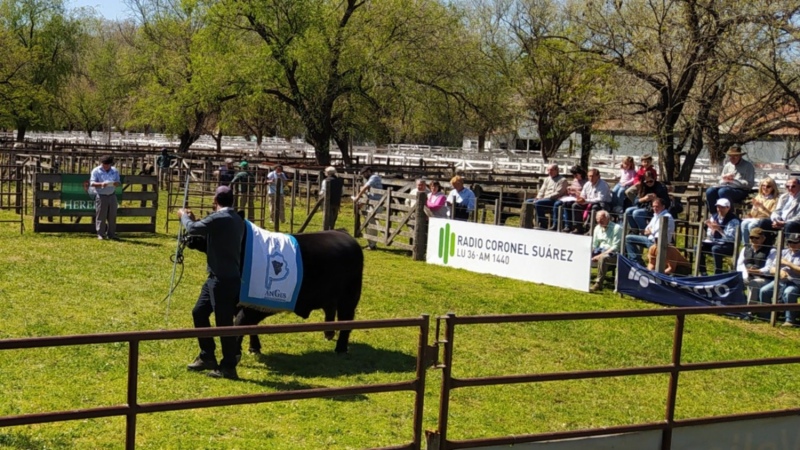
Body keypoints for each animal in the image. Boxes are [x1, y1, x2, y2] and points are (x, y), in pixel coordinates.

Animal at [184, 227, 362, 354]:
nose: (189, 237)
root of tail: (343, 233)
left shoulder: (252, 305)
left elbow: (241, 323)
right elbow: (249, 325)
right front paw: (253, 347)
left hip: (349, 299)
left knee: (346, 321)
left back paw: (340, 348)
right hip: (330, 297)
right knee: (330, 311)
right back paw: (328, 334)